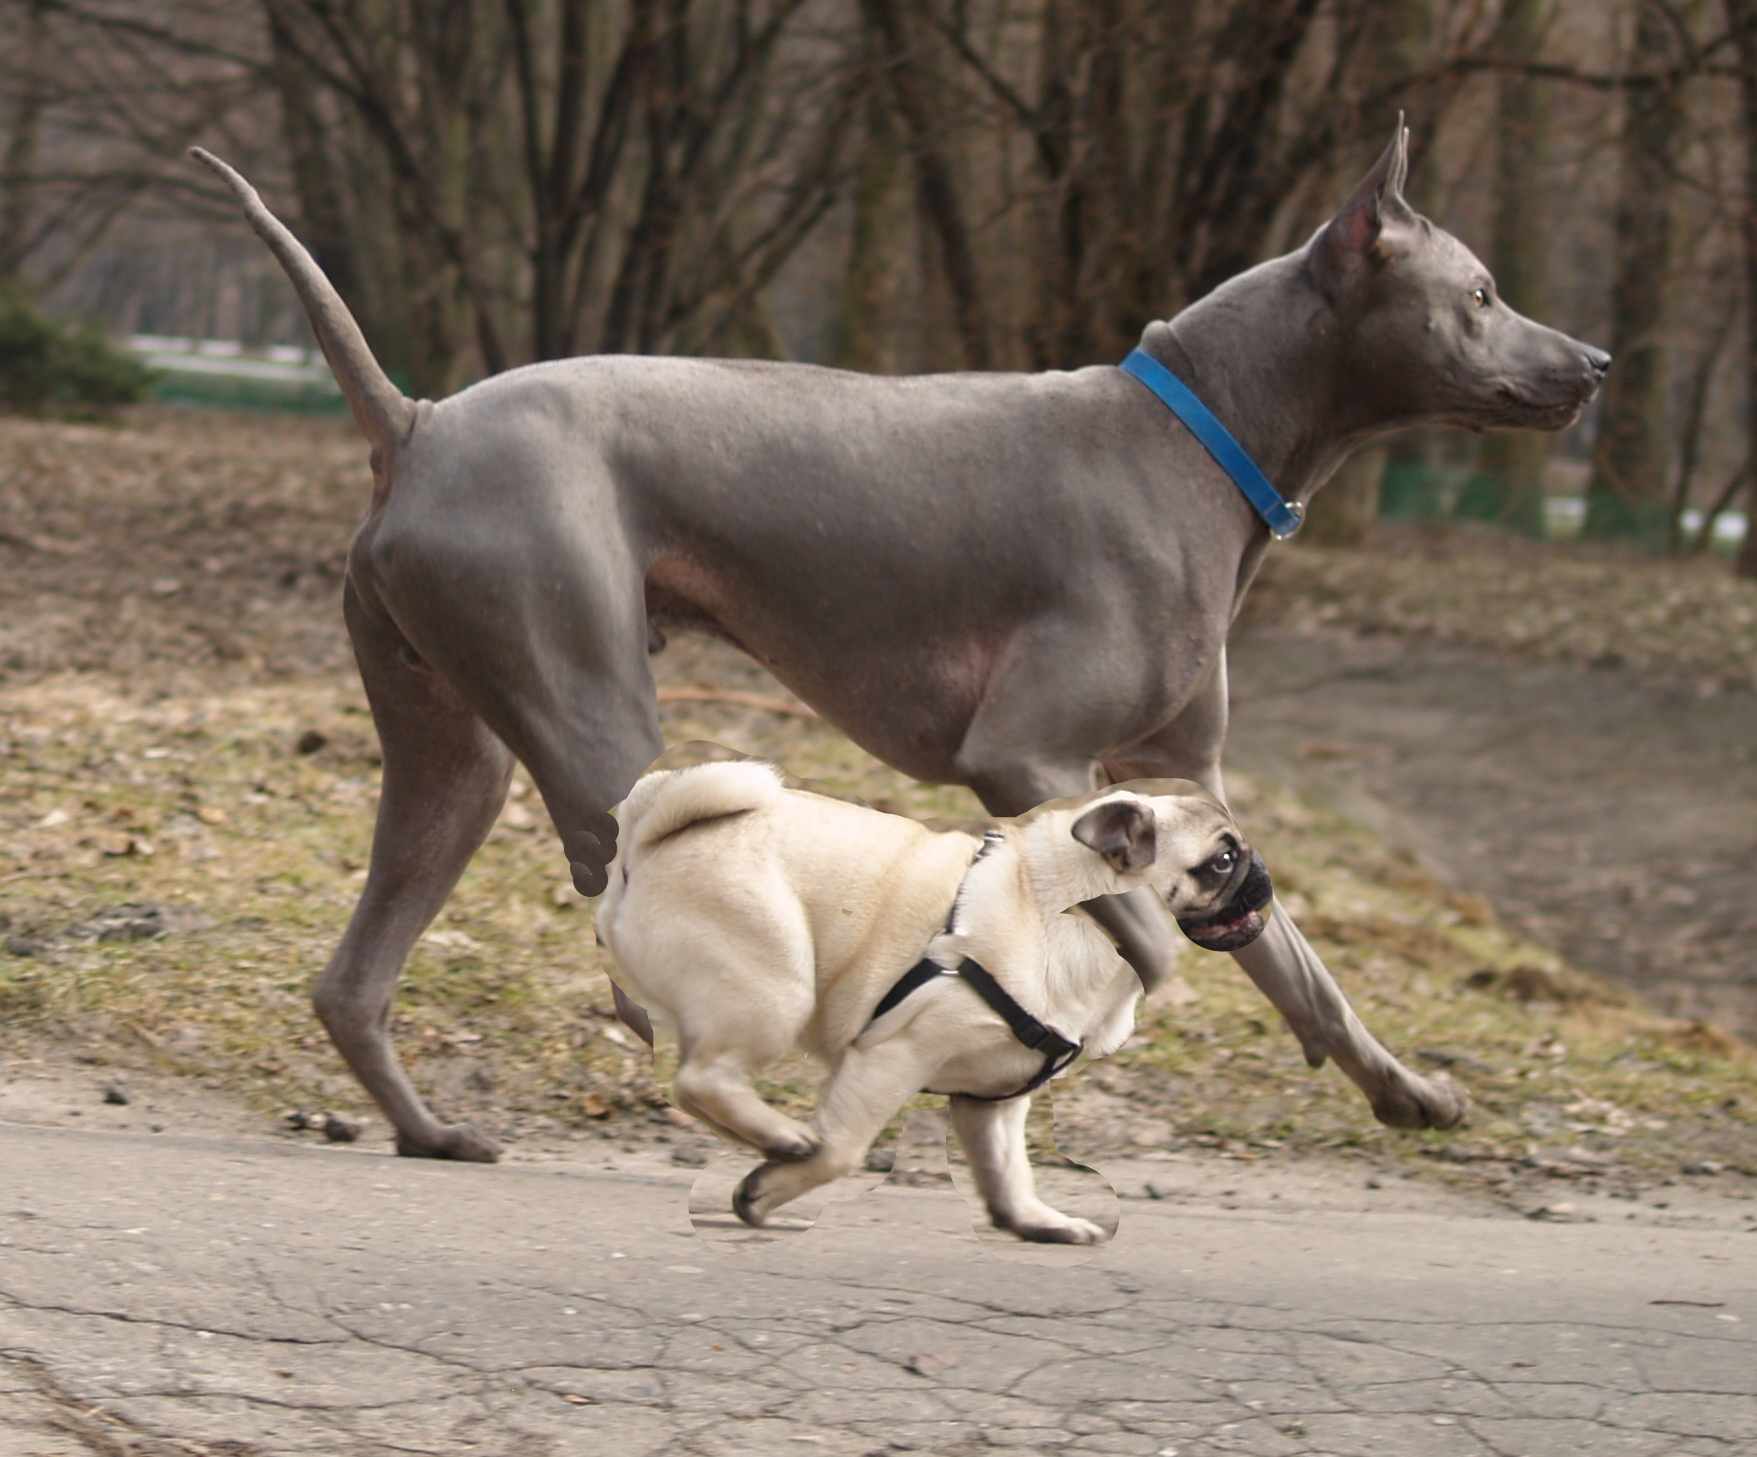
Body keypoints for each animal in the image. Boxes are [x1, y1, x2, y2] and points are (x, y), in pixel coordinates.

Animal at [188, 119, 1609, 1152]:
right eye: (1480, 292)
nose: (1594, 361)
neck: (1202, 440)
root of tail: (415, 418)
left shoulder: (1190, 783)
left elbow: (1299, 963)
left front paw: (1403, 1088)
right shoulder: (1023, 755)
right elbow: (1138, 939)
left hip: (453, 750)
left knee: (354, 976)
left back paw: (430, 1129)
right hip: (596, 713)